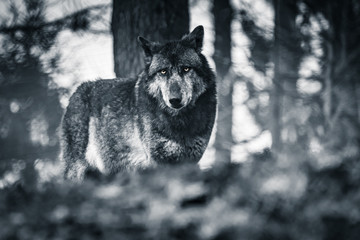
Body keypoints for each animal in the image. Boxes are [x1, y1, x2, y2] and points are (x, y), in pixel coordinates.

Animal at [61, 26, 217, 180]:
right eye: (163, 71)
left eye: (186, 68)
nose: (174, 100)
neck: (179, 122)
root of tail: (76, 93)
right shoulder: (158, 160)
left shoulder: (190, 160)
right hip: (78, 170)